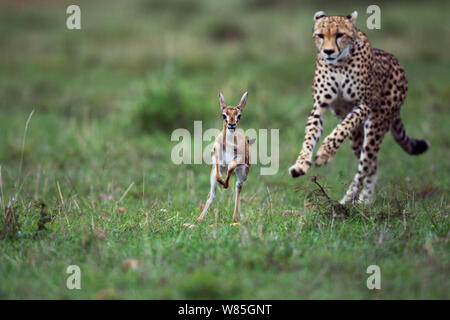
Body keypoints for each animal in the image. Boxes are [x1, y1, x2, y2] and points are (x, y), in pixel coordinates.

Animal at [288, 11, 428, 204]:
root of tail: (398, 63)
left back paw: (349, 201)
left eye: (340, 34)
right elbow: (309, 137)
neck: (339, 64)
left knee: (366, 163)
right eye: (320, 35)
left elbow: (340, 130)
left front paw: (324, 154)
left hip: (376, 124)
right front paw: (301, 165)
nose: (328, 51)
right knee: (373, 164)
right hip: (357, 137)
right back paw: (365, 201)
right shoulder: (319, 107)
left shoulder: (365, 105)